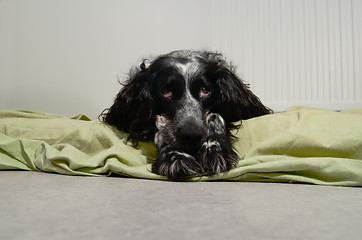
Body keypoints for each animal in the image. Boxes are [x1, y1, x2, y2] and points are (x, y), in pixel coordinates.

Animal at [100, 49, 270, 179]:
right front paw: (176, 158)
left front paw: (215, 150)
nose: (191, 135)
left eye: (205, 90)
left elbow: (216, 117)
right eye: (166, 91)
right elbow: (161, 129)